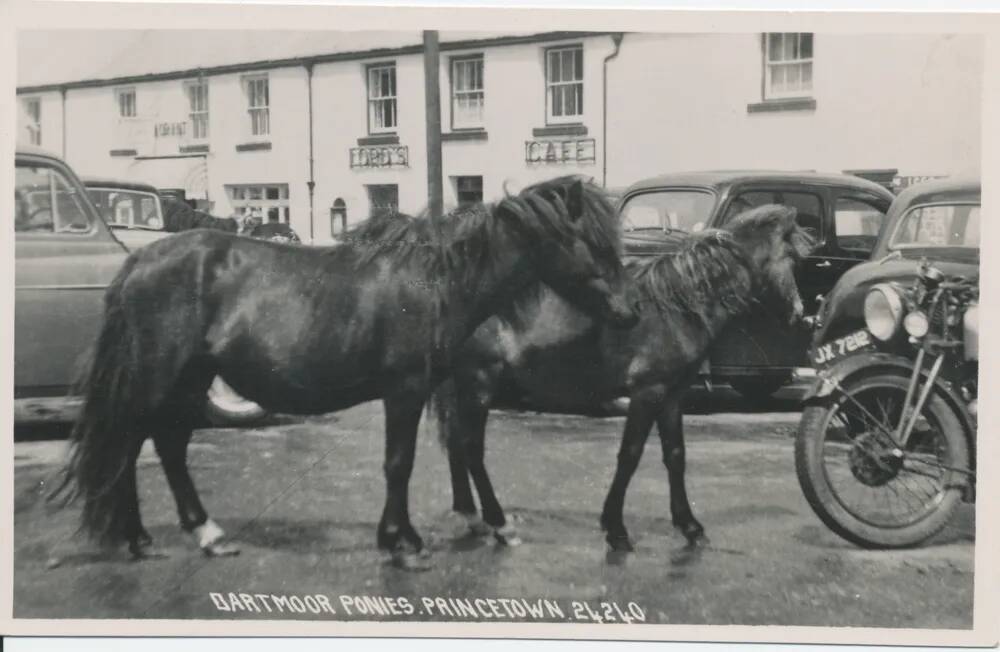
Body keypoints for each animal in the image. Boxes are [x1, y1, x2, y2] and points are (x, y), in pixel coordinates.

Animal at [47, 176, 636, 568]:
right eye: (591, 243)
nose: (627, 312)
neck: (436, 283)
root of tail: (137, 262)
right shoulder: (406, 389)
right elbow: (399, 463)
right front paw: (405, 543)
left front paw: (400, 537)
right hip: (157, 376)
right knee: (131, 444)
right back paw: (139, 538)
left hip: (189, 378)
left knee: (167, 445)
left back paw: (204, 535)